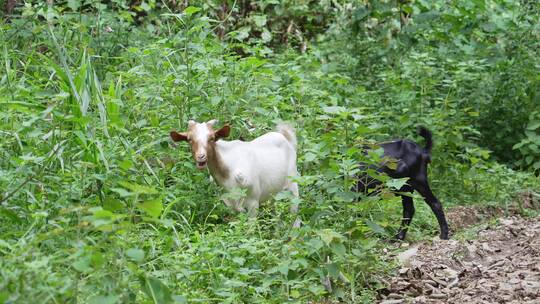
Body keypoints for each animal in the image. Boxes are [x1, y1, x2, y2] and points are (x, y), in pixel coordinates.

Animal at [170, 119, 300, 218]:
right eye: (190, 139)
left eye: (212, 138)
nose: (201, 156)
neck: (227, 172)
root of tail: (286, 137)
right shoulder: (229, 202)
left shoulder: (253, 200)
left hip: (292, 182)